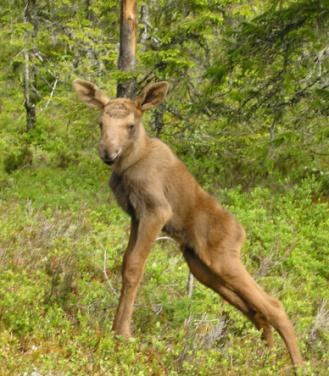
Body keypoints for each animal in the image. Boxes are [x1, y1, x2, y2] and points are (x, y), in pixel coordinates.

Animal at [73, 78, 302, 368]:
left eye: (131, 125)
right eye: (100, 123)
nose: (108, 153)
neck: (128, 164)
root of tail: (241, 234)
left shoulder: (157, 211)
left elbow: (134, 267)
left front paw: (123, 333)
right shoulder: (136, 215)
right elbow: (125, 263)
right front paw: (116, 328)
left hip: (222, 259)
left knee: (274, 305)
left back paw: (299, 364)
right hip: (201, 266)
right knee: (255, 309)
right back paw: (267, 355)